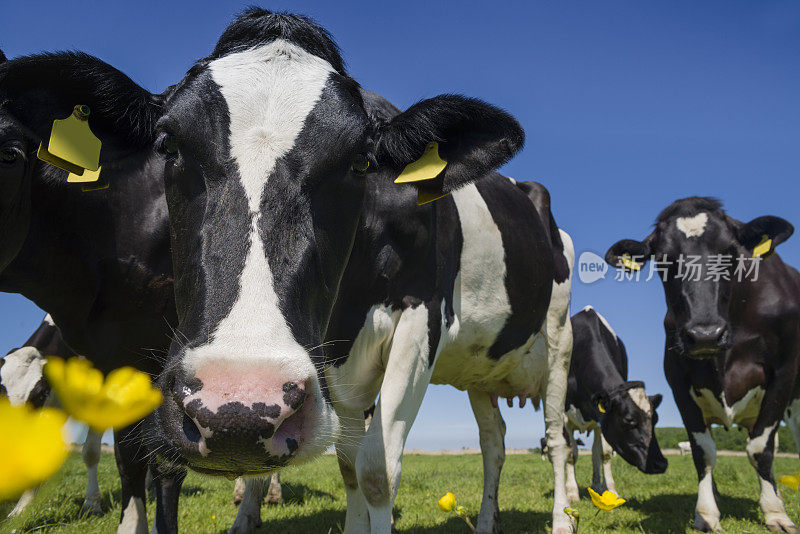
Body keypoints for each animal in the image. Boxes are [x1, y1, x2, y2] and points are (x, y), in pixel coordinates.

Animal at [564, 306, 668, 502]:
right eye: (629, 420)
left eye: (655, 420)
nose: (661, 464)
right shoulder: (563, 414)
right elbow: (571, 453)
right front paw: (571, 493)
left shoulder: (603, 419)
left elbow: (604, 454)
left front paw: (611, 491)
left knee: (595, 452)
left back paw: (597, 486)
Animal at [608, 199, 800, 532]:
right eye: (663, 259)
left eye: (731, 251)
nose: (705, 334)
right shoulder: (678, 381)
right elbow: (704, 451)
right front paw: (707, 514)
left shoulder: (784, 373)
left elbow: (760, 448)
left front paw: (775, 513)